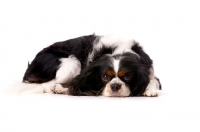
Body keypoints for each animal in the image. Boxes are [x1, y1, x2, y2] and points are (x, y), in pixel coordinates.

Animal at [22, 34, 162, 97]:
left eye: (127, 76)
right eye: (105, 77)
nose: (115, 86)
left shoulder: (150, 71)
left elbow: (152, 81)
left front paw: (149, 89)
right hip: (71, 63)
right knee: (47, 85)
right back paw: (58, 88)